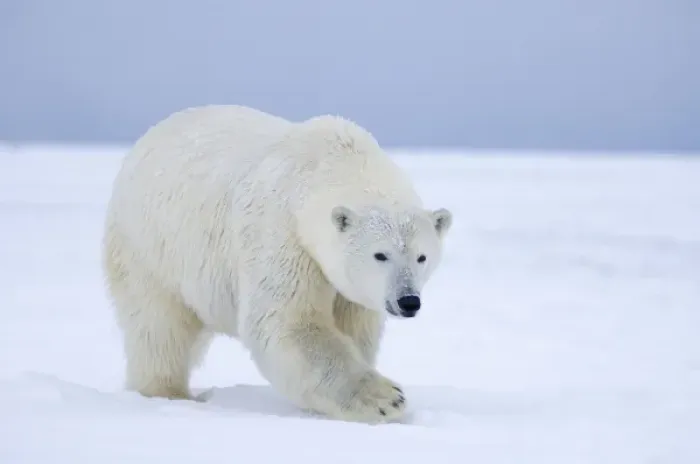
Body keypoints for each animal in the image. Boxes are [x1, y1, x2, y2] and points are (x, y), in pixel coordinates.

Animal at [102, 104, 452, 424]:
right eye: (381, 254)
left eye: (421, 257)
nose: (408, 301)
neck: (331, 163)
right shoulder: (283, 233)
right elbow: (288, 321)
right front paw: (385, 399)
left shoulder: (353, 289)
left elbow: (352, 327)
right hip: (152, 247)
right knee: (159, 326)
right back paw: (167, 392)